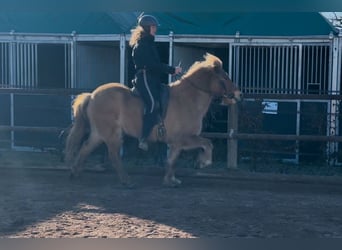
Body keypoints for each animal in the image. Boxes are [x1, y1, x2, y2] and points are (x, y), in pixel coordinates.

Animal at [63, 52, 240, 187]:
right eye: (225, 78)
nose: (239, 94)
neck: (187, 99)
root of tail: (92, 95)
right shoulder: (183, 138)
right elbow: (207, 143)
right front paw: (203, 162)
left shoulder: (176, 143)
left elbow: (172, 160)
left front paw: (170, 180)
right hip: (111, 134)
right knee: (113, 154)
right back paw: (126, 181)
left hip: (99, 133)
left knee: (85, 147)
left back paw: (75, 173)